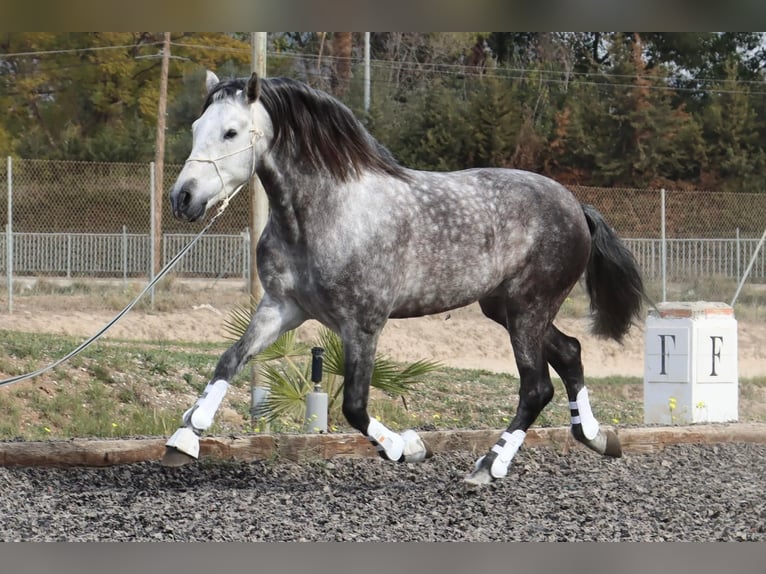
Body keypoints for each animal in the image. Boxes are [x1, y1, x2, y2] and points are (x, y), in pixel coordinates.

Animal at [165, 71, 644, 486]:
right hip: (505, 308)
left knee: (536, 387)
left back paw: (489, 466)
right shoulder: (282, 307)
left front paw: (409, 448)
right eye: (196, 126)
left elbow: (354, 406)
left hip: (529, 307)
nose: (183, 198)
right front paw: (183, 439)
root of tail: (575, 205)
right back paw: (597, 438)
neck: (326, 214)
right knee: (570, 352)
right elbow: (230, 359)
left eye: (230, 132)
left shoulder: (363, 323)